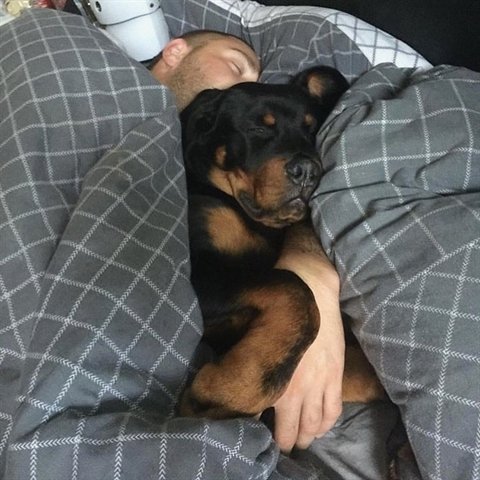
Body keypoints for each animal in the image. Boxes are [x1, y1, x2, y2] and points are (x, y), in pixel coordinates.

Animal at [179, 65, 382, 418]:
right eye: (258, 127)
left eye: (311, 130)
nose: (308, 171)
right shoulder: (203, 276)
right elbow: (294, 290)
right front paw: (229, 390)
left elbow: (365, 375)